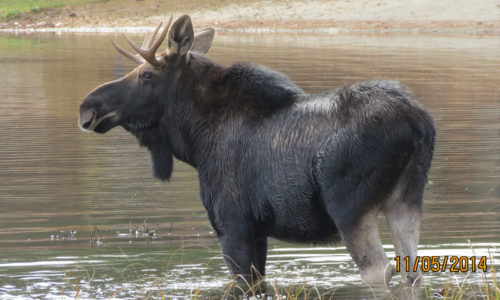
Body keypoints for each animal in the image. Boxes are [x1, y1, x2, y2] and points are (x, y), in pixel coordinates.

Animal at [78, 14, 434, 286]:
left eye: (147, 75)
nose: (87, 107)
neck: (195, 140)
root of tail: (417, 122)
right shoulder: (258, 230)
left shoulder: (232, 224)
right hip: (407, 198)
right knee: (411, 269)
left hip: (349, 207)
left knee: (379, 271)